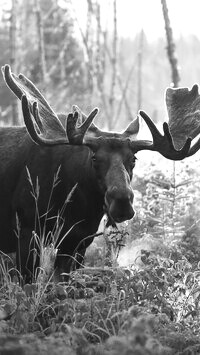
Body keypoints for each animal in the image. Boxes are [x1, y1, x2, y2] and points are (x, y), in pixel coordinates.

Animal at [0, 63, 200, 280]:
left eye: (133, 159)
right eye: (95, 158)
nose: (122, 202)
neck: (78, 206)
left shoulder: (79, 241)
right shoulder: (26, 229)